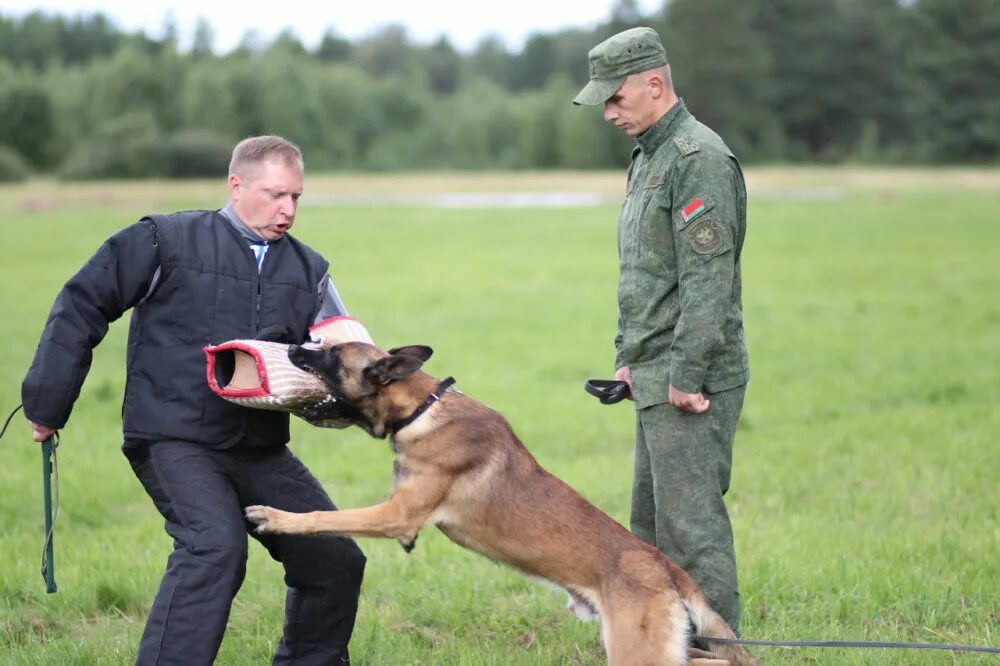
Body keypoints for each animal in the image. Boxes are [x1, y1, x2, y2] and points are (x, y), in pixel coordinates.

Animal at [244, 342, 756, 664]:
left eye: (331, 353)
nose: (291, 347)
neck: (422, 407)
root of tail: (666, 567)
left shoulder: (396, 515)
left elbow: (322, 516)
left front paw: (274, 517)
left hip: (638, 653)